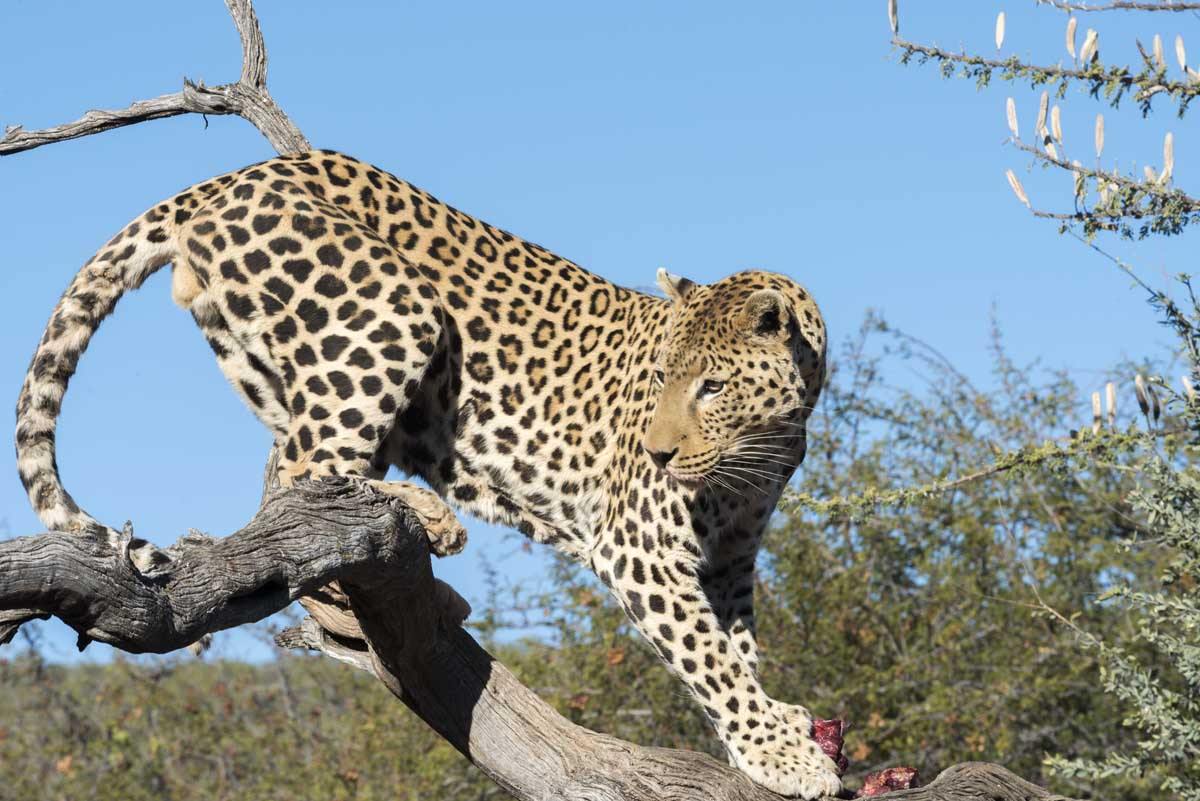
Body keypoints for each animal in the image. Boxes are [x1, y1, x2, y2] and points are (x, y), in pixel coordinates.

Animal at [11, 151, 835, 801]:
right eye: (663, 378)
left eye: (712, 387)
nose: (659, 452)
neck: (760, 448)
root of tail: (234, 176)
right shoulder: (639, 545)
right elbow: (707, 654)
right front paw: (784, 755)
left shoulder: (730, 558)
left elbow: (735, 646)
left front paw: (775, 728)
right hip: (391, 311)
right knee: (310, 476)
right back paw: (427, 518)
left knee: (287, 479)